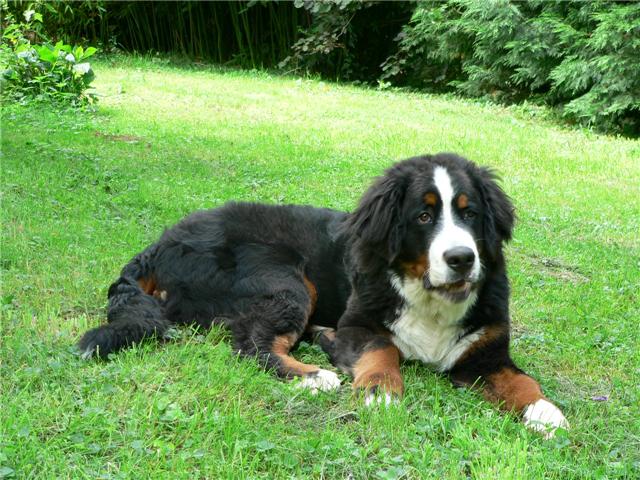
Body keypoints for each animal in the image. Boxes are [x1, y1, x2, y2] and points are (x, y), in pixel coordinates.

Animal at [79, 153, 568, 438]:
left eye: (470, 214)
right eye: (424, 216)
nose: (462, 258)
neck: (429, 300)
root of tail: (162, 242)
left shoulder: (485, 352)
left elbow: (520, 381)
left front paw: (543, 411)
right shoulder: (360, 324)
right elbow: (382, 351)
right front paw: (380, 391)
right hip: (285, 279)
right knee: (251, 343)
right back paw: (314, 374)